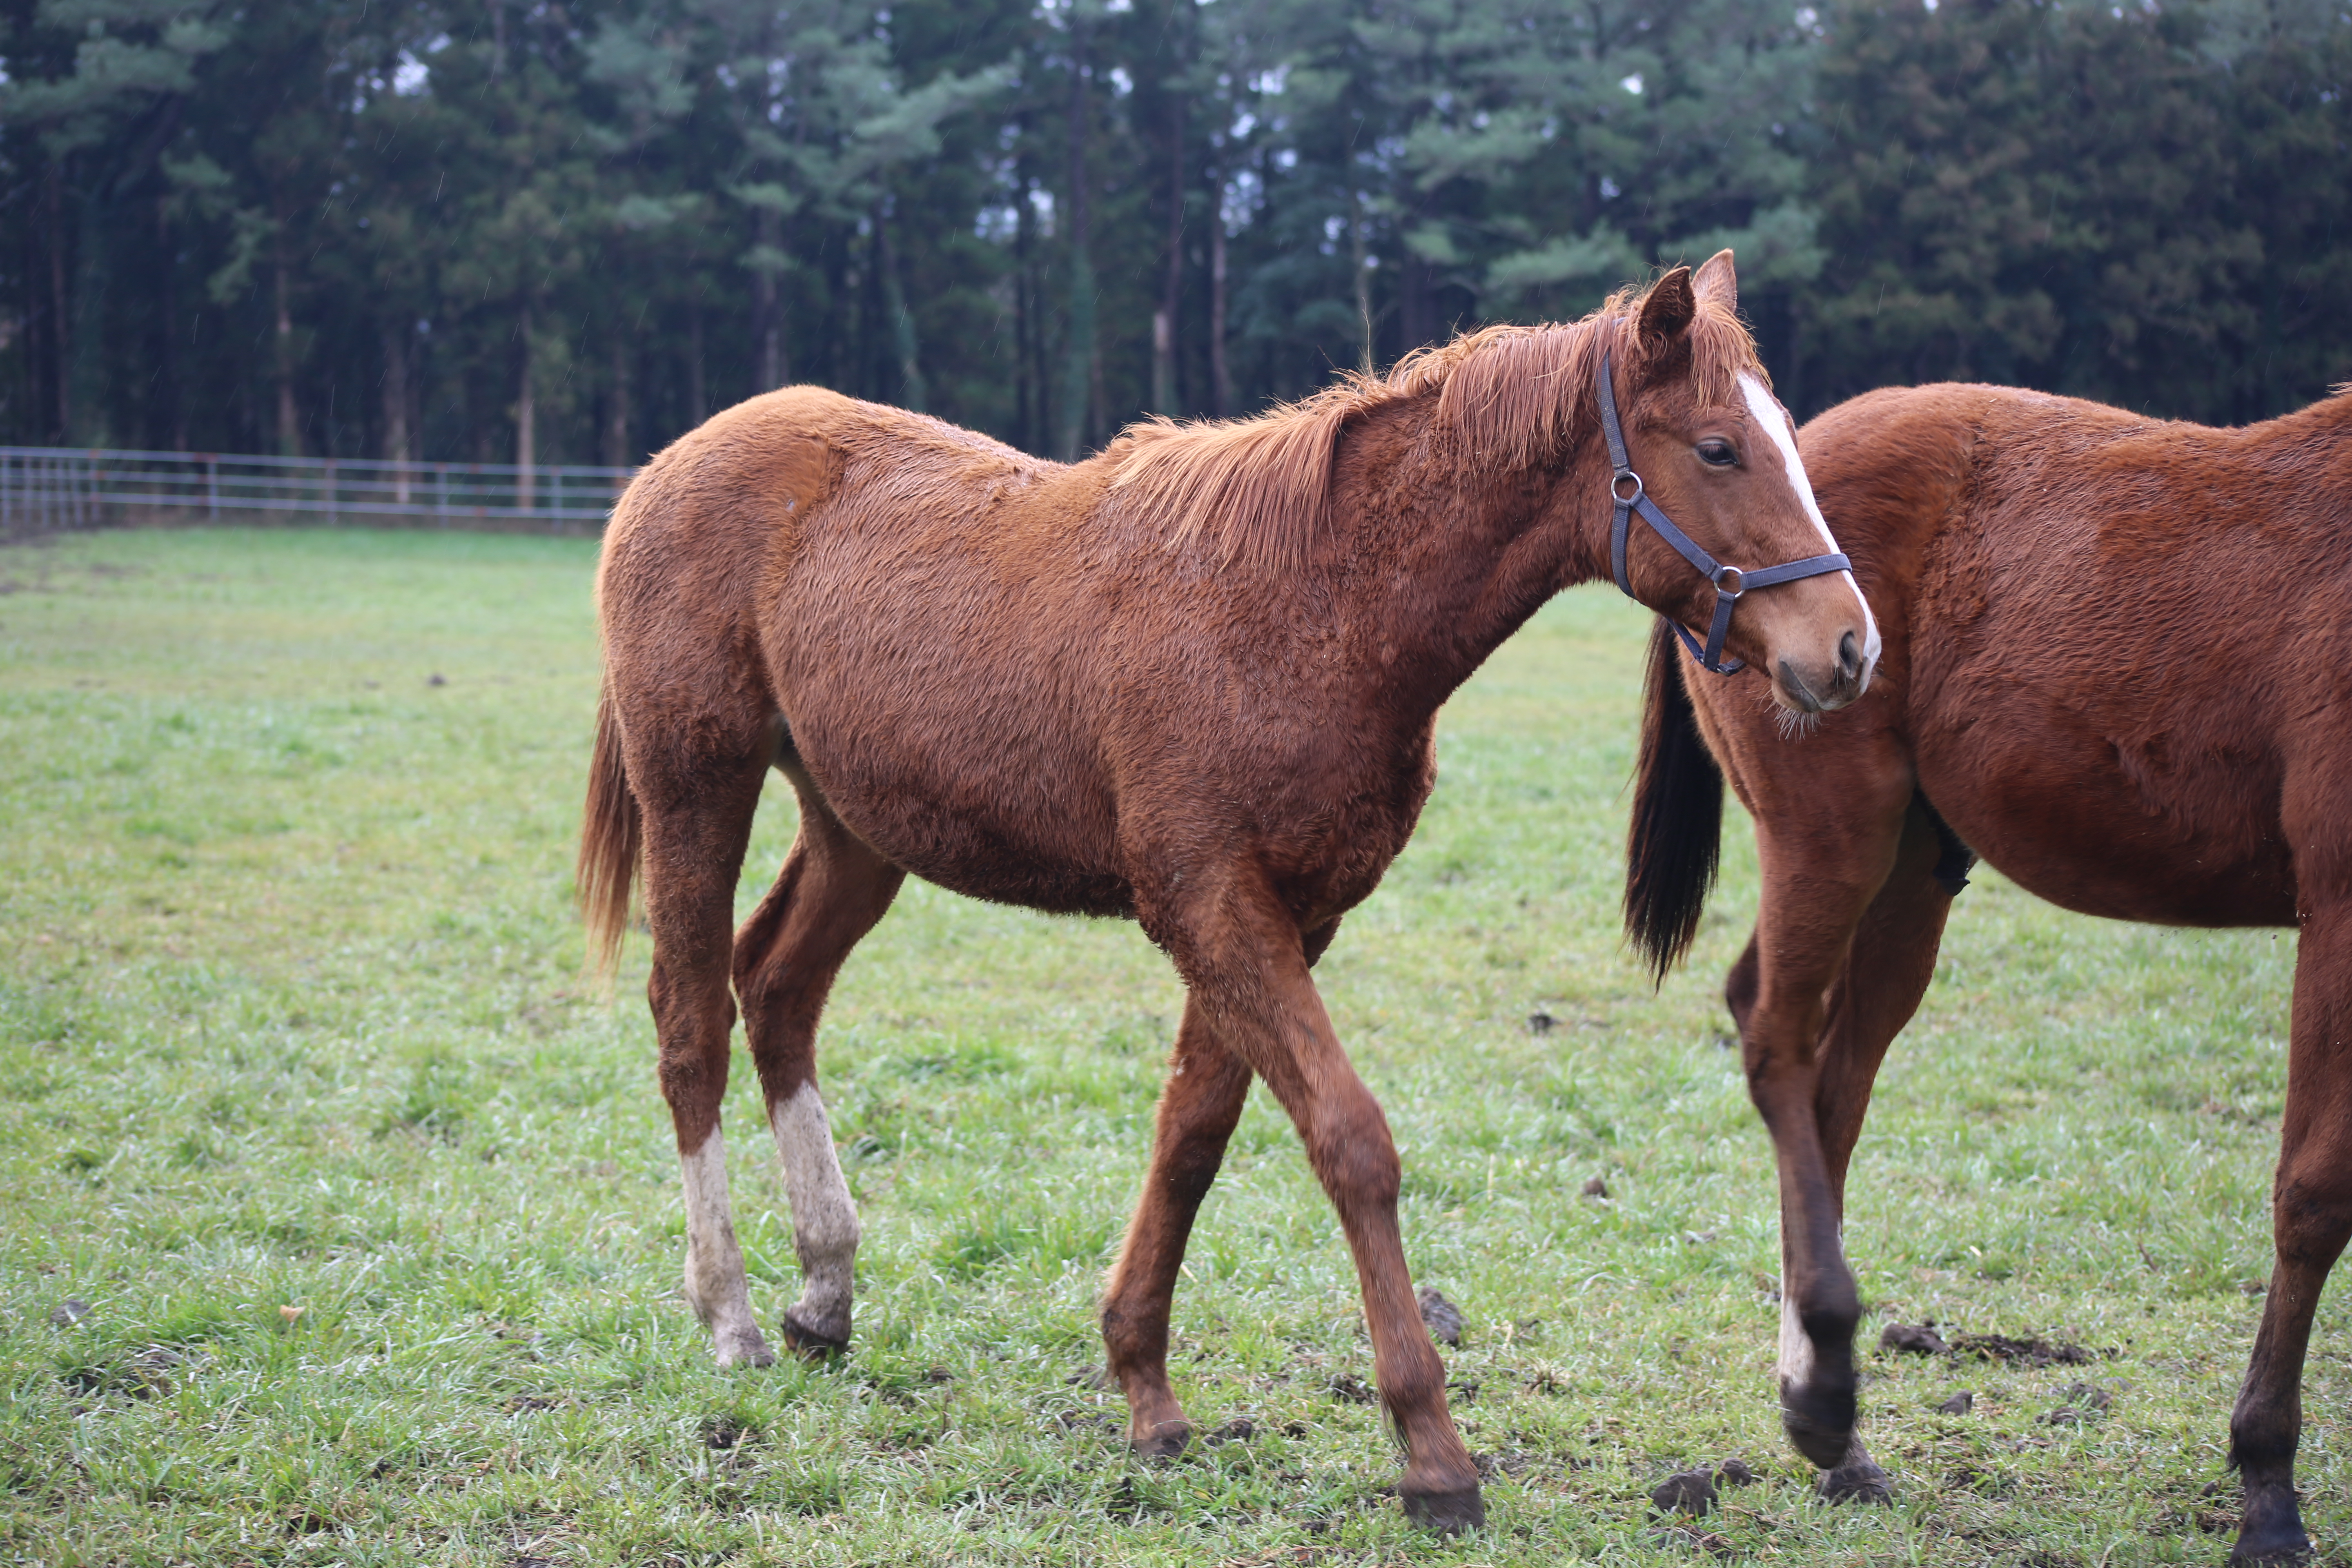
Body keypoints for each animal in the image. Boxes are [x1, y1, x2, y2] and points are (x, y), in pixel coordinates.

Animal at [1627, 383, 2352, 1568]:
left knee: (1828, 1096)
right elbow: (2312, 1194)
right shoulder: (2335, 906)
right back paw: (1821, 1409)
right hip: (1830, 834)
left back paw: (1835, 1422)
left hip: (1913, 869)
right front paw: (2266, 1486)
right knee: (1773, 1036)